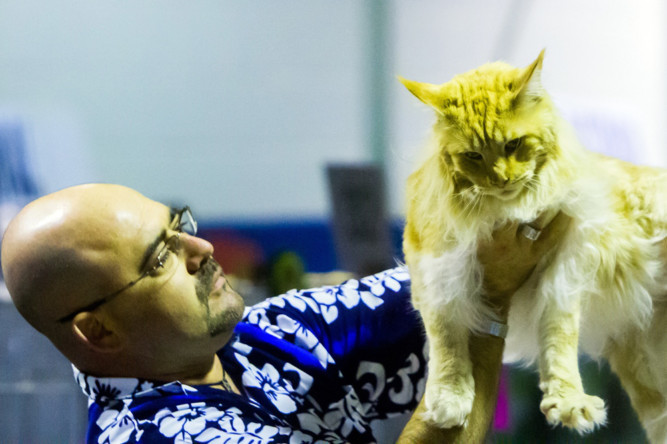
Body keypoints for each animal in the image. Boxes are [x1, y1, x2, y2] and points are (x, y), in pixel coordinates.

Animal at [402, 50, 667, 442]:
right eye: (473, 156)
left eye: (513, 145)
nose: (501, 179)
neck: (503, 213)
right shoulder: (437, 266)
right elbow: (446, 336)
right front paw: (449, 398)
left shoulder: (565, 271)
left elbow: (559, 337)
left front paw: (569, 400)